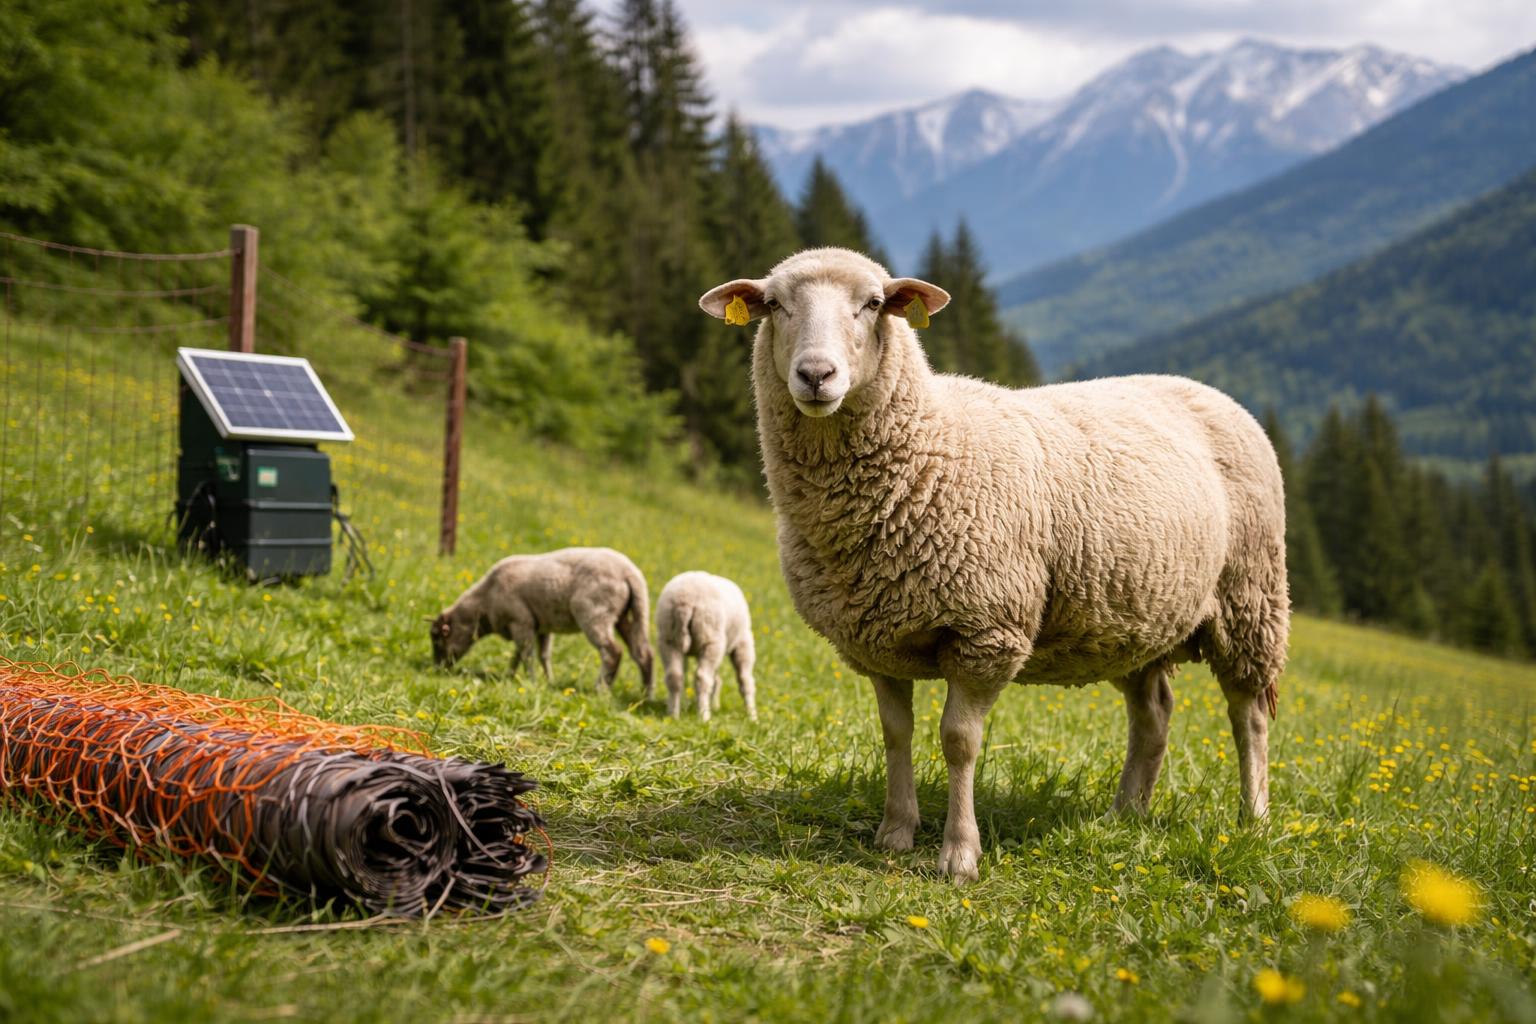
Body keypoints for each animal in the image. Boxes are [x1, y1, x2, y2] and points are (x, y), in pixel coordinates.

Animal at [431, 547, 655, 696]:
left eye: (438, 639)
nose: (437, 669)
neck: (484, 603)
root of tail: (630, 572)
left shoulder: (521, 621)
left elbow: (527, 655)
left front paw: (530, 680)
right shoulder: (538, 626)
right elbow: (537, 656)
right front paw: (539, 680)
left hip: (595, 613)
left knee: (612, 651)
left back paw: (600, 689)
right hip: (626, 616)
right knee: (643, 654)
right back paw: (646, 695)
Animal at [655, 571, 758, 722]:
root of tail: (685, 601)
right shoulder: (742, 642)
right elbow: (745, 680)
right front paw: (752, 716)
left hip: (669, 639)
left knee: (675, 676)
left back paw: (673, 714)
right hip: (710, 638)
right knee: (702, 678)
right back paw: (704, 716)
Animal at [698, 247, 1288, 884]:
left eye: (874, 304)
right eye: (774, 304)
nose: (815, 375)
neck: (928, 446)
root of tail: (1209, 392)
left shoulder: (986, 630)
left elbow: (959, 741)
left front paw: (959, 854)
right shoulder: (877, 637)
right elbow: (895, 734)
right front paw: (896, 832)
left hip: (1250, 598)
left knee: (1249, 715)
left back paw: (1253, 818)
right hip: (1133, 615)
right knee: (1153, 715)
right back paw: (1125, 814)